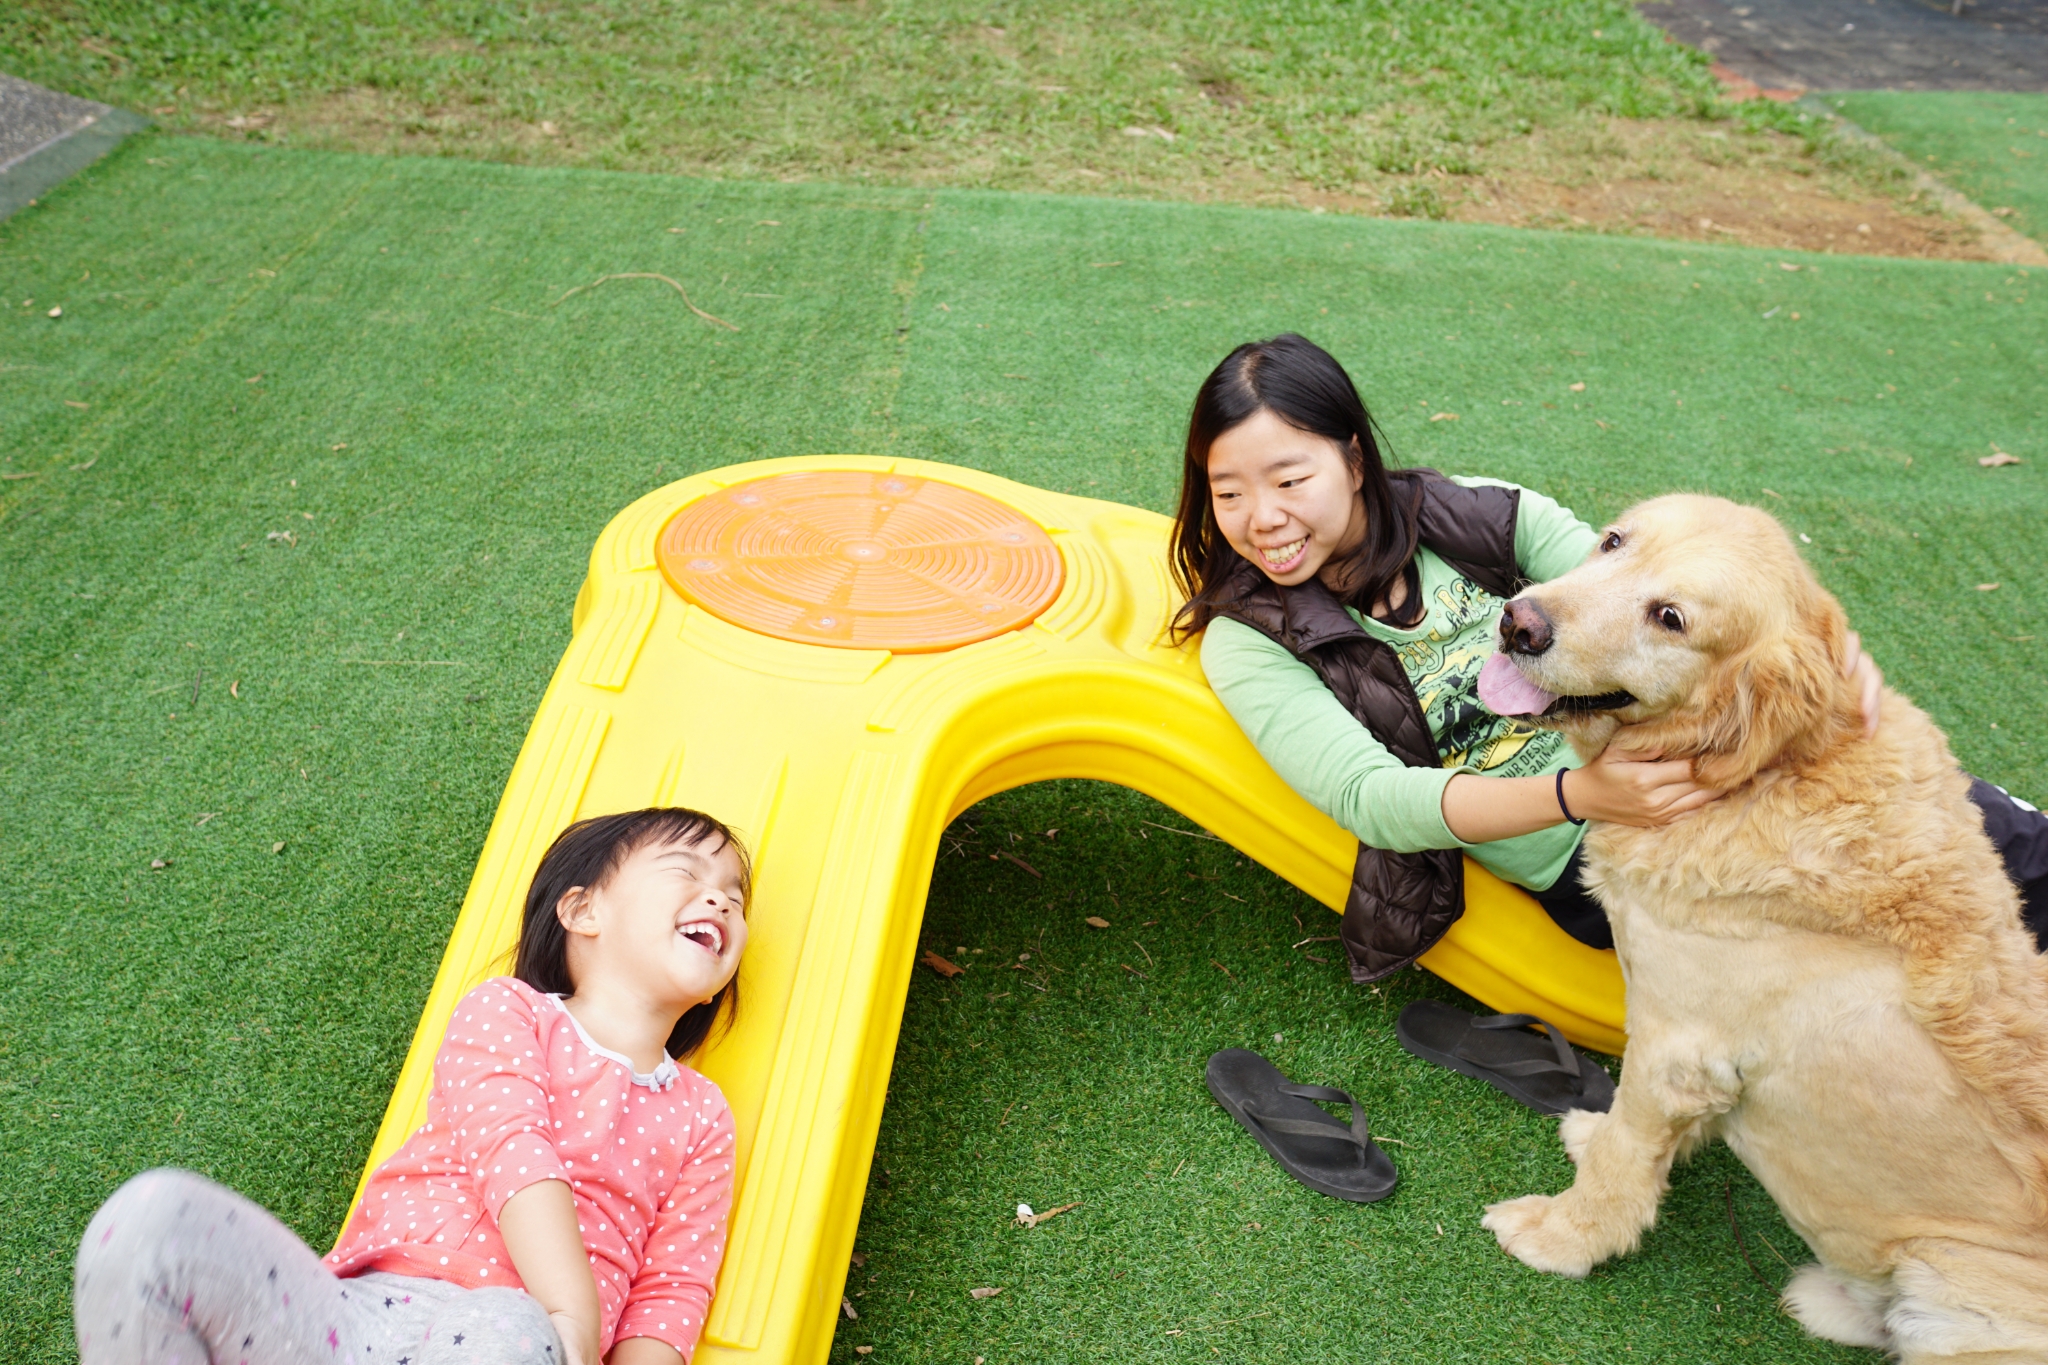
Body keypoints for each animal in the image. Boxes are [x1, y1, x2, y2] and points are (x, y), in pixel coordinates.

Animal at [1472, 494, 2048, 1362]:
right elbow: (1630, 1137)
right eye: (1613, 541)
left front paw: (1559, 1236)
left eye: (1671, 617)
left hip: (1948, 1282)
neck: (1754, 776)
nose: (1520, 623)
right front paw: (1596, 1137)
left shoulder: (1677, 1045)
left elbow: (1622, 1161)